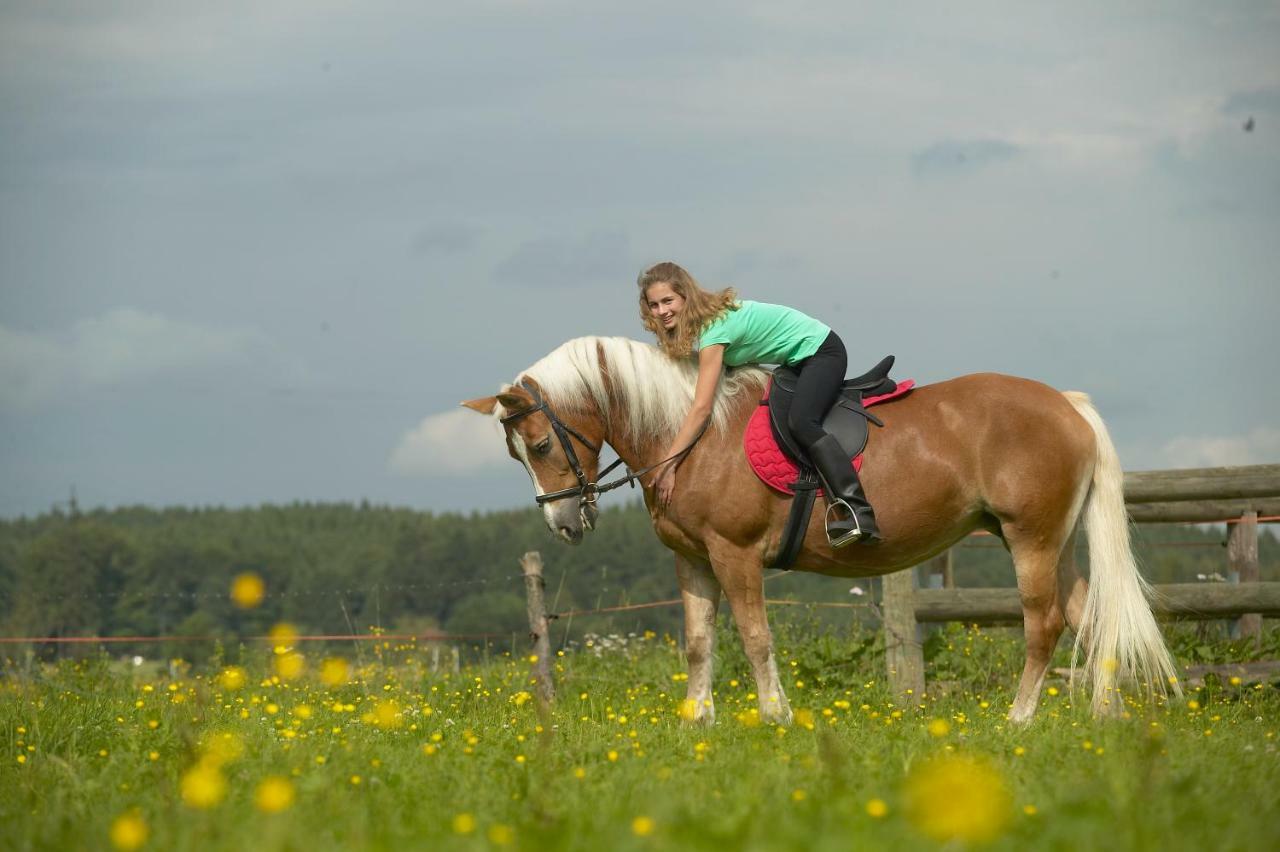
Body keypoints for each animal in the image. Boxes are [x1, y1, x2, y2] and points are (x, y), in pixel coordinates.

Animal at [463, 335, 1177, 721]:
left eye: (541, 444)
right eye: (516, 454)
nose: (563, 522)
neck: (689, 432)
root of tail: (1068, 406)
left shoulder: (734, 555)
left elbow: (755, 640)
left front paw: (774, 716)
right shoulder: (692, 561)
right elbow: (697, 643)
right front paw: (698, 722)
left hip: (1031, 538)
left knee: (1045, 623)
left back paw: (1020, 719)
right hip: (1048, 541)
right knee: (1089, 615)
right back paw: (1103, 717)